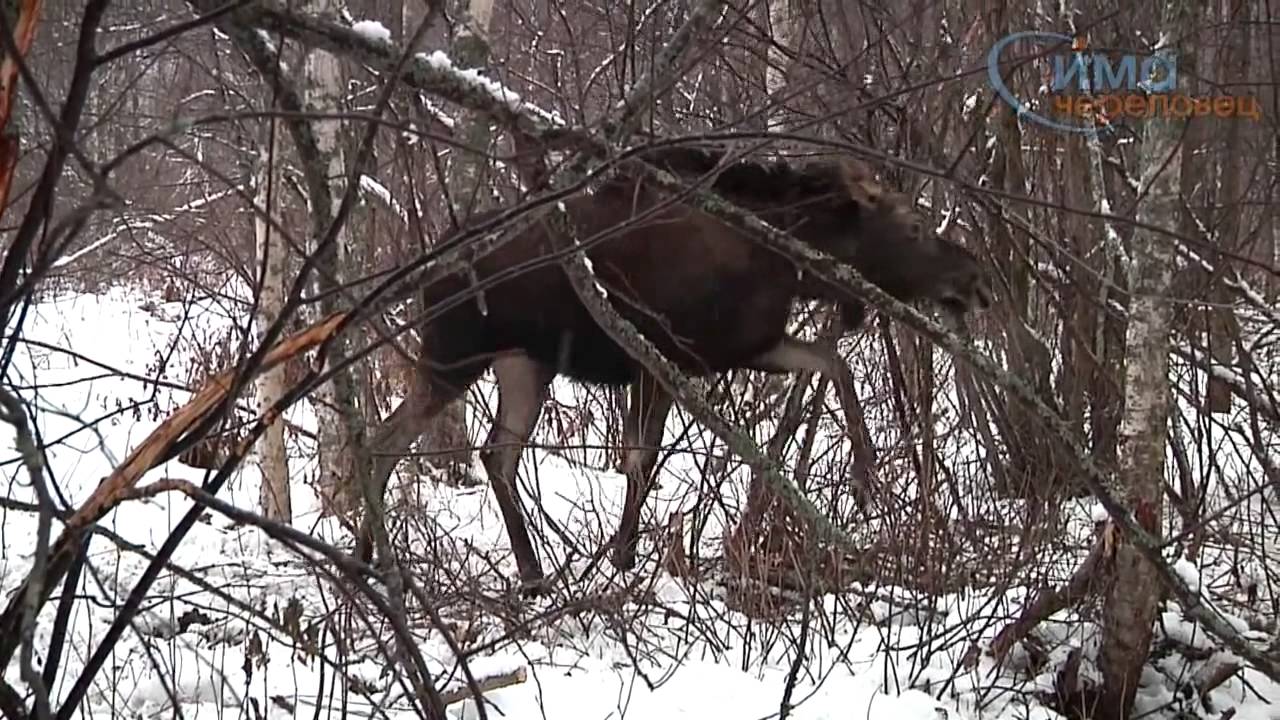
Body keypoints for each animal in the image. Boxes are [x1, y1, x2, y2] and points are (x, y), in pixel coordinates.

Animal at [355, 144, 993, 584]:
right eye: (914, 225)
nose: (976, 280)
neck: (789, 266)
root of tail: (423, 266)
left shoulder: (745, 346)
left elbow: (836, 363)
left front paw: (867, 483)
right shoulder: (663, 355)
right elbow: (641, 458)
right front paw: (624, 558)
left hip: (523, 363)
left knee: (496, 452)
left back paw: (531, 574)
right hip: (454, 353)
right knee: (386, 442)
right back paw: (370, 560)